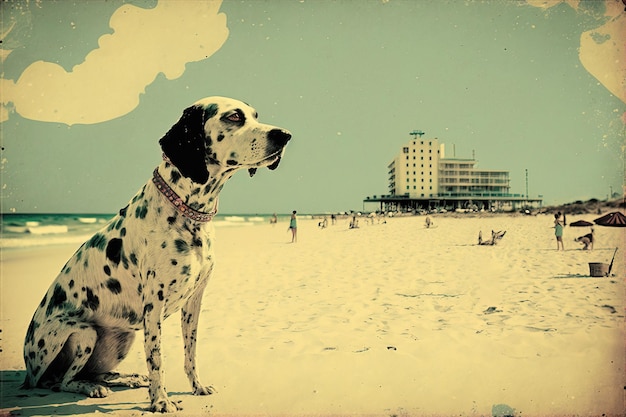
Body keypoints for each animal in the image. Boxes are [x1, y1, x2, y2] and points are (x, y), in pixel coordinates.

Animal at [21, 96, 290, 412]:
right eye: (234, 117)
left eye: (255, 115)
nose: (285, 135)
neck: (188, 211)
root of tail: (27, 373)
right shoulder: (154, 305)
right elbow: (157, 358)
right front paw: (160, 401)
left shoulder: (195, 300)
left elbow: (190, 351)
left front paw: (196, 387)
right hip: (84, 333)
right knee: (62, 381)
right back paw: (91, 388)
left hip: (122, 337)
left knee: (94, 373)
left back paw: (125, 379)